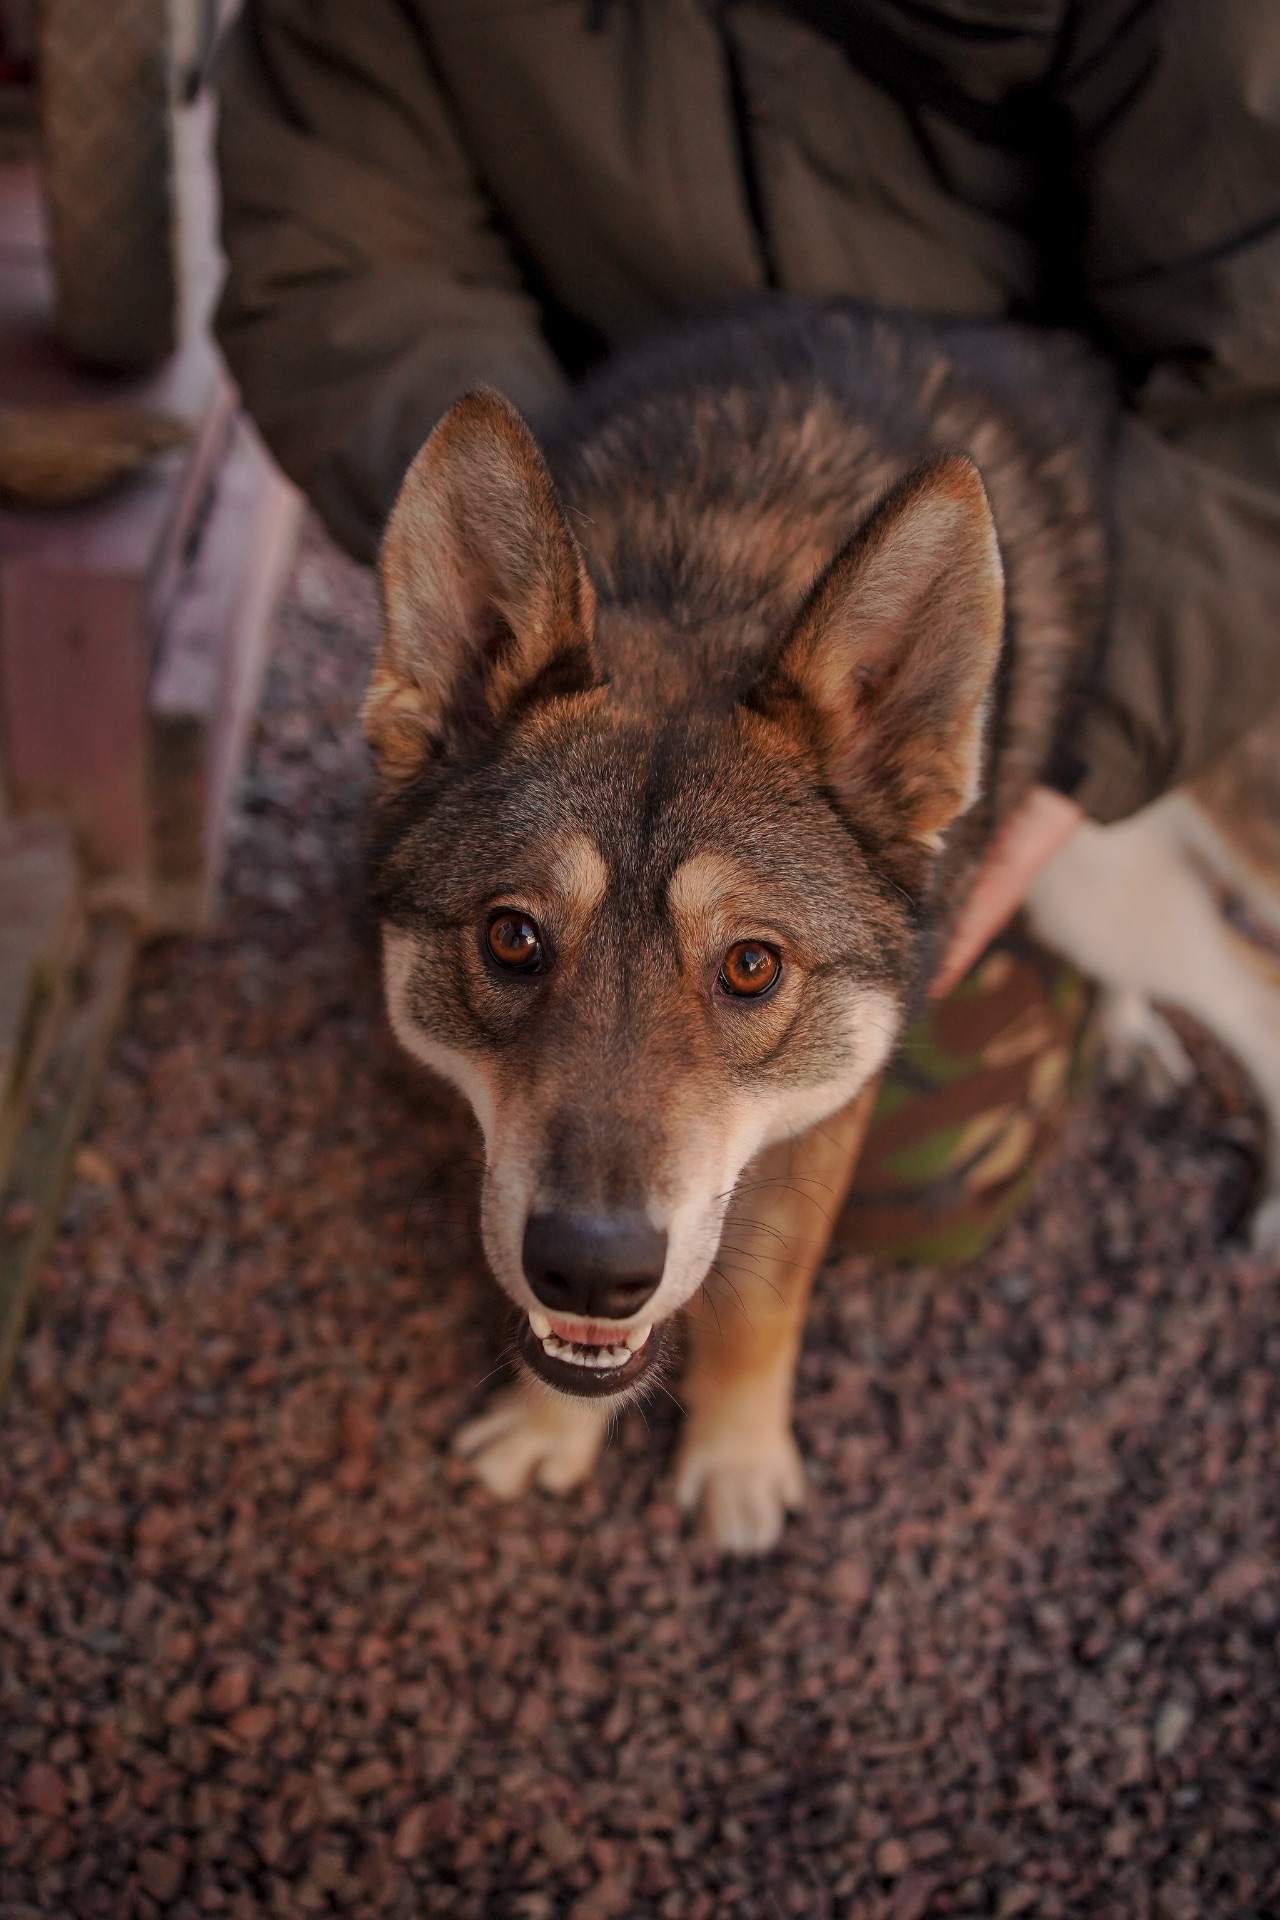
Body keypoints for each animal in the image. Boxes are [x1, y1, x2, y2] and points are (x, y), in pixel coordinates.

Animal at [360, 303, 1280, 1559]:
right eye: (512, 940)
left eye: (751, 966)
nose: (591, 1271)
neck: (708, 572)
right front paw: (554, 1433)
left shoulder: (836, 1103)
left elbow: (761, 1299)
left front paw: (737, 1464)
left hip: (1107, 881)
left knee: (1255, 987)